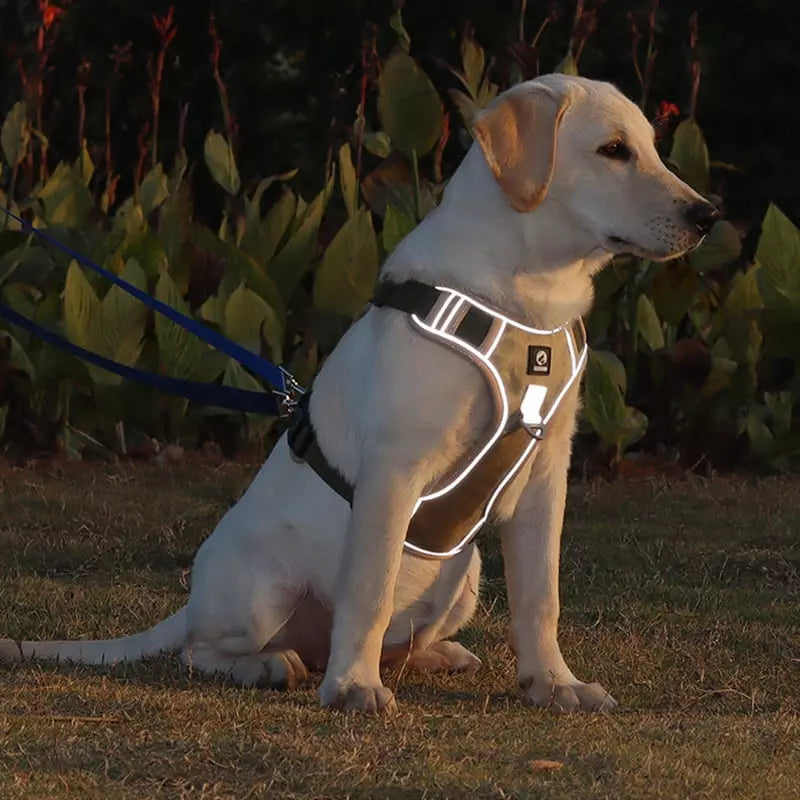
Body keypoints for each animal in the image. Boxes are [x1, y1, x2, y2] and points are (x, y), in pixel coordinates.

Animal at [0, 75, 716, 712]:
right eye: (613, 150)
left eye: (651, 148)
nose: (708, 215)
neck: (524, 297)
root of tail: (191, 603)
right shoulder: (395, 469)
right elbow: (369, 591)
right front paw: (352, 688)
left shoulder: (546, 474)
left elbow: (541, 597)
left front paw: (554, 684)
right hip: (261, 589)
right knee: (204, 651)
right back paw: (270, 665)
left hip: (465, 574)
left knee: (395, 639)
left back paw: (430, 655)